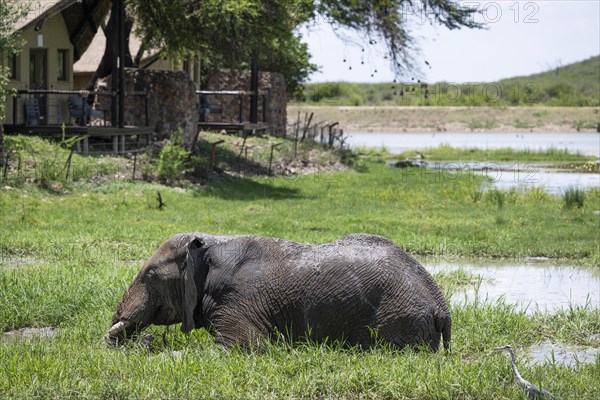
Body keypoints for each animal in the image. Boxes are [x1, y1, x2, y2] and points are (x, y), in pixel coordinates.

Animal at [104, 233, 450, 352]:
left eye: (149, 275)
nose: (146, 337)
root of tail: (442, 306)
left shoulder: (238, 299)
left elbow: (244, 347)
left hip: (399, 317)